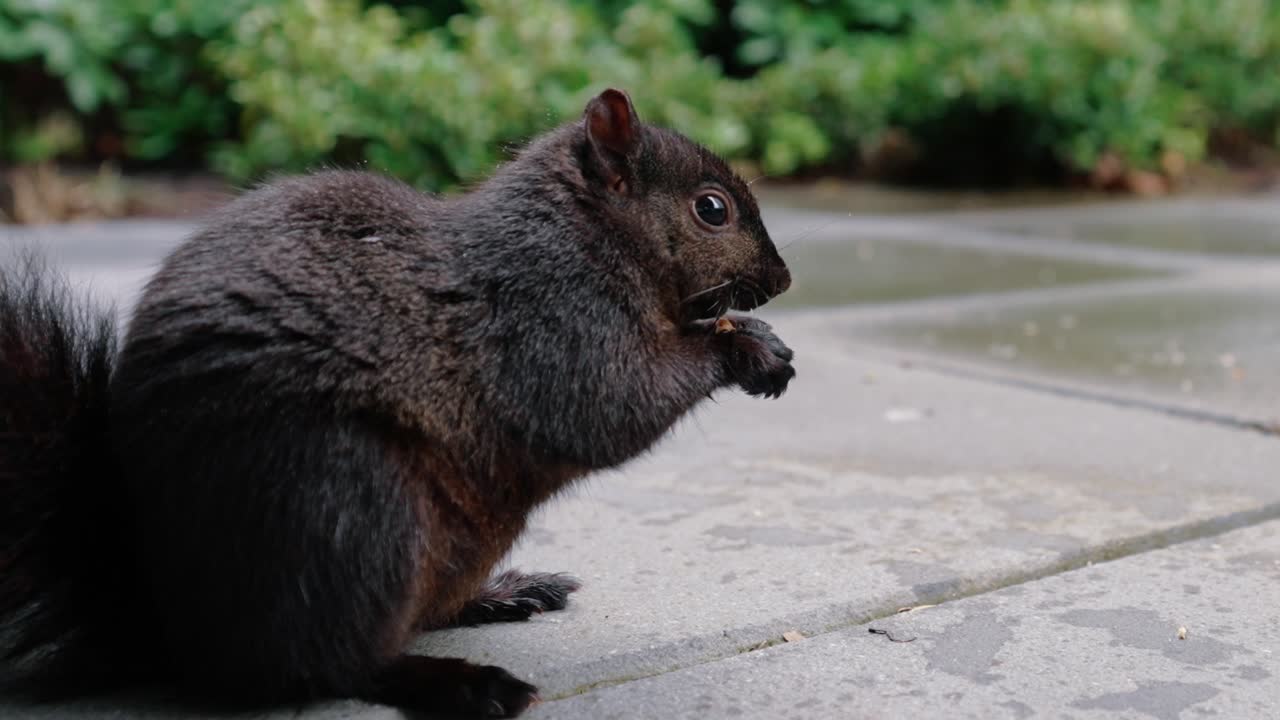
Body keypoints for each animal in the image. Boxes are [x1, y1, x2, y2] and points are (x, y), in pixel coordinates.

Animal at [0, 89, 793, 718]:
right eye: (712, 209)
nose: (782, 279)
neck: (588, 235)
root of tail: (164, 619)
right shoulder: (553, 320)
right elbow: (609, 405)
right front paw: (742, 350)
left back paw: (503, 593)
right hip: (349, 503)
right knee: (327, 664)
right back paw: (463, 684)